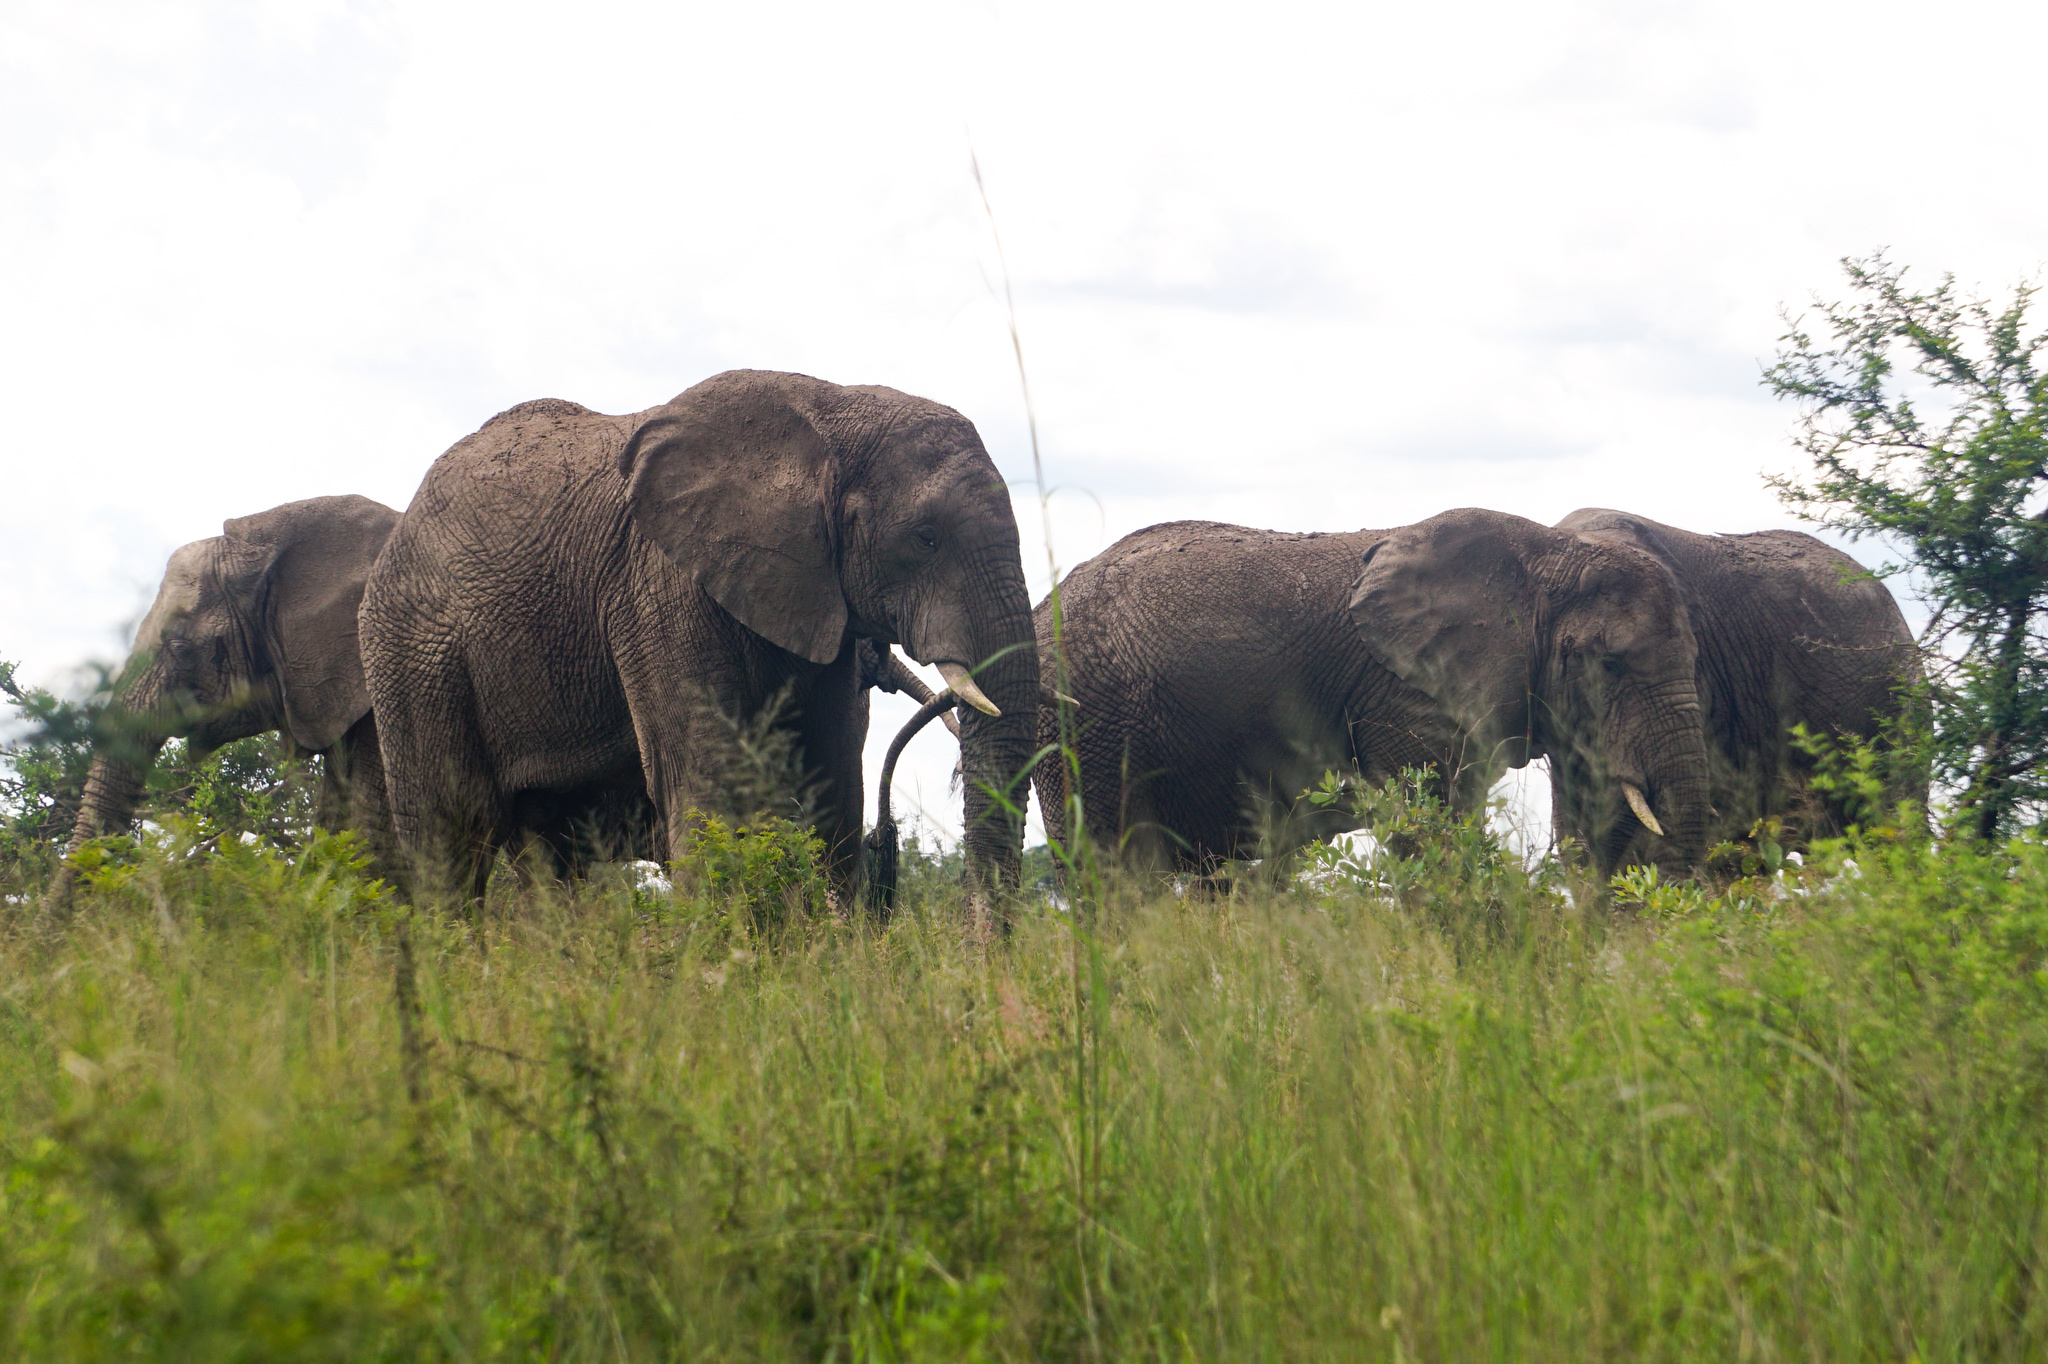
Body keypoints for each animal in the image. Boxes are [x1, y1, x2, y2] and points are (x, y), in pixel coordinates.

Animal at [356, 368, 1040, 901]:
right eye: (926, 538)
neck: (830, 412)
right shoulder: (657, 586)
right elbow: (709, 787)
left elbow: (831, 789)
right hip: (412, 649)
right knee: (452, 834)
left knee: (550, 855)